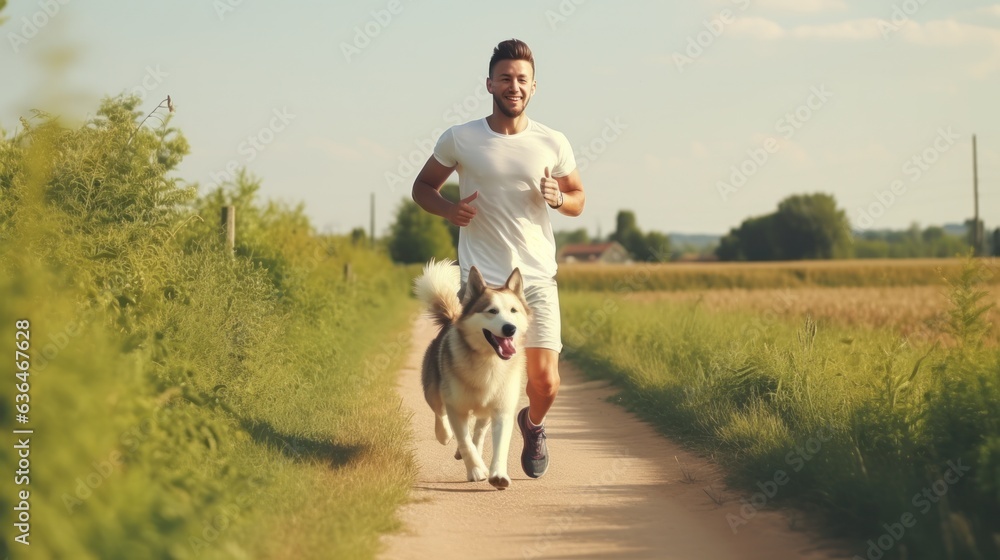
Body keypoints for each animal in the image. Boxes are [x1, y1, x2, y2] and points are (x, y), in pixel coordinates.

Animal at [410, 260, 532, 490]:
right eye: (492, 311)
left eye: (513, 310)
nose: (510, 328)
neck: (489, 361)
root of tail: (452, 320)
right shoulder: (456, 407)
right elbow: (465, 442)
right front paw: (476, 470)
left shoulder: (502, 409)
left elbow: (498, 444)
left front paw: (498, 474)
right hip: (433, 389)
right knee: (439, 413)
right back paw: (445, 434)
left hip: (485, 410)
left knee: (479, 431)